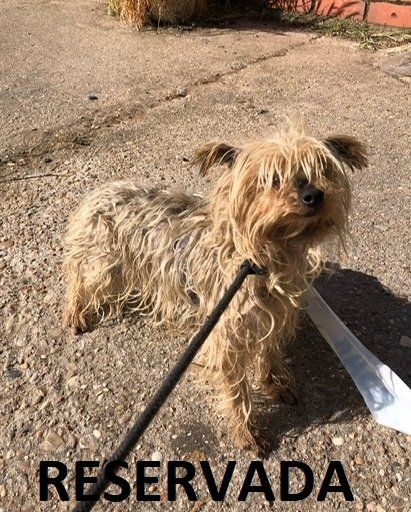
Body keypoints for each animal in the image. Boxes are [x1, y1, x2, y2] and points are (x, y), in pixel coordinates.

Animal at [63, 126, 366, 450]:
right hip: (102, 259)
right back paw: (75, 312)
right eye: (273, 179)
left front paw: (274, 382)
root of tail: (100, 190)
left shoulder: (275, 313)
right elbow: (236, 387)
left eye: (323, 170)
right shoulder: (225, 332)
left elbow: (269, 351)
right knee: (79, 278)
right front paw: (247, 431)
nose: (314, 195)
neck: (263, 259)